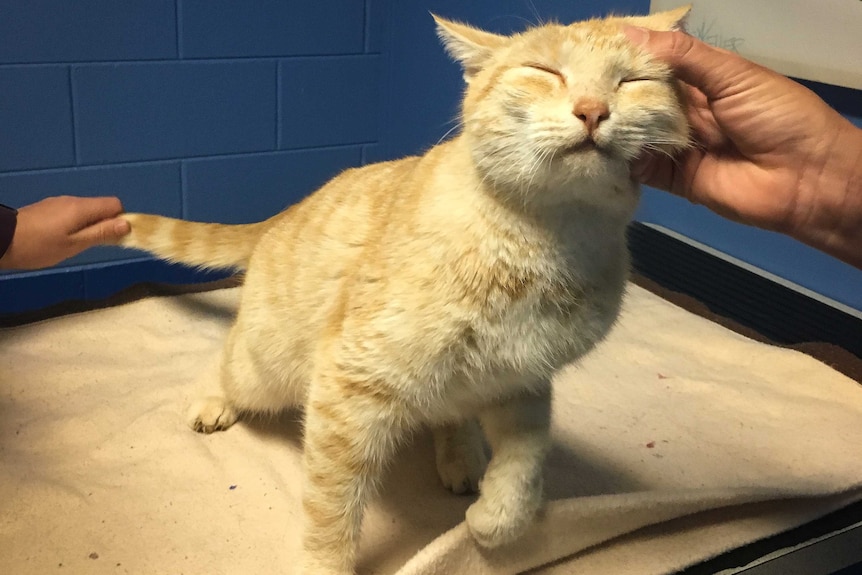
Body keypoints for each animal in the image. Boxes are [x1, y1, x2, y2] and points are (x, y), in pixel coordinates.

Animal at [118, 6, 692, 572]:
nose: (593, 110)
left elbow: (525, 462)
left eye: (631, 82)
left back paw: (462, 455)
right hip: (266, 368)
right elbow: (331, 506)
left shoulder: (523, 378)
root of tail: (288, 211)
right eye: (544, 71)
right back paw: (214, 401)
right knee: (227, 361)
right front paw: (324, 563)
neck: (548, 242)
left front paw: (496, 521)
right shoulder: (349, 383)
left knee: (452, 414)